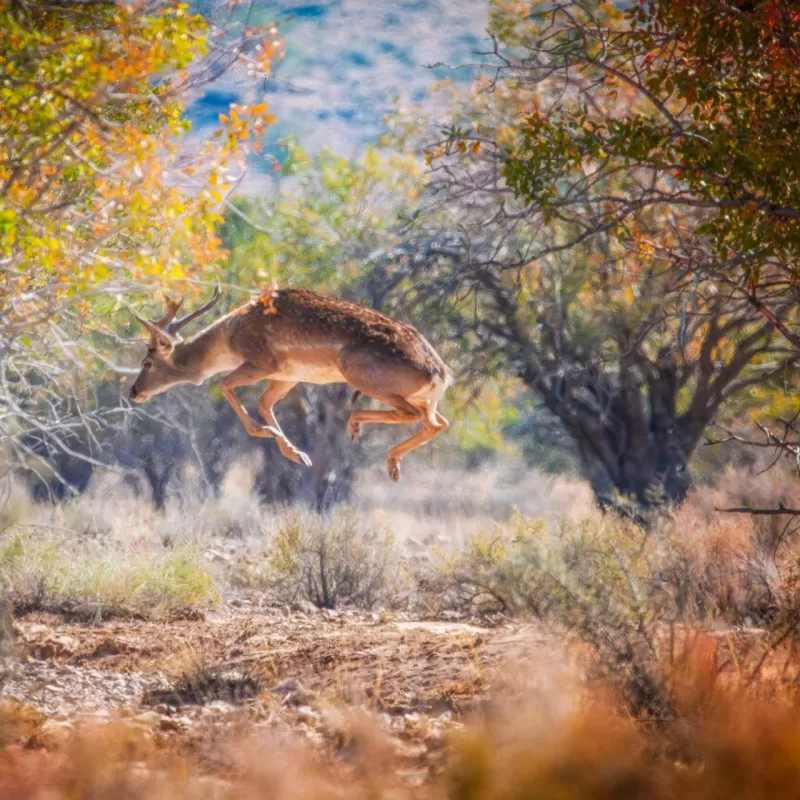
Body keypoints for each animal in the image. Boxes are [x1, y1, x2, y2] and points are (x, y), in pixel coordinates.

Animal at [126, 282, 450, 482]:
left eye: (147, 362)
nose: (134, 391)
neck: (229, 339)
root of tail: (441, 374)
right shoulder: (288, 375)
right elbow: (264, 402)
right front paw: (297, 455)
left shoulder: (264, 361)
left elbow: (225, 385)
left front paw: (262, 430)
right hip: (421, 396)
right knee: (438, 422)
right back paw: (392, 464)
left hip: (360, 372)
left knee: (417, 416)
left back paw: (359, 429)